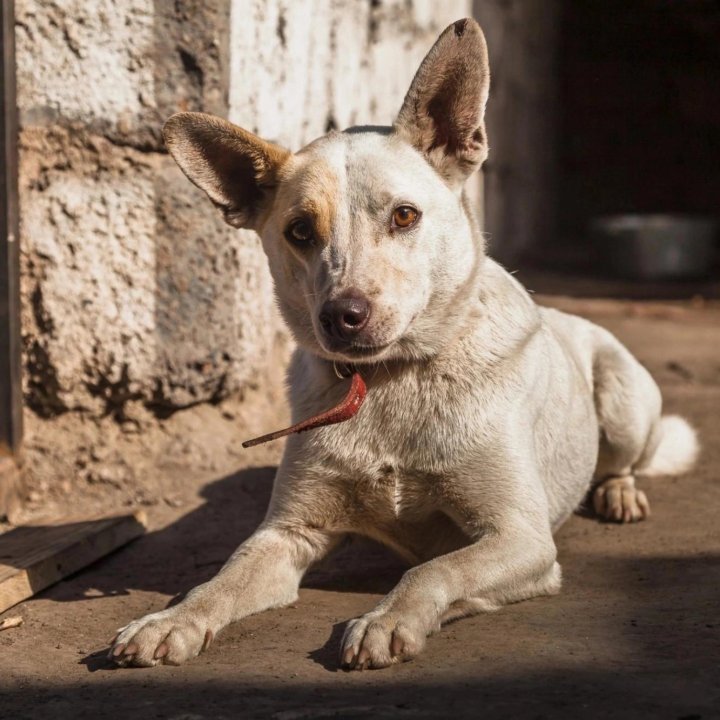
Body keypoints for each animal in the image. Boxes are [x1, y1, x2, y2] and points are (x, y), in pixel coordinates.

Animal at [111, 16, 696, 668]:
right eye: (299, 231)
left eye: (404, 216)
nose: (342, 315)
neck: (392, 380)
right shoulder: (287, 533)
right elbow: (221, 578)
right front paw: (171, 620)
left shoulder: (519, 537)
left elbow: (435, 570)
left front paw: (386, 618)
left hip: (622, 400)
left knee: (626, 461)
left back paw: (620, 494)